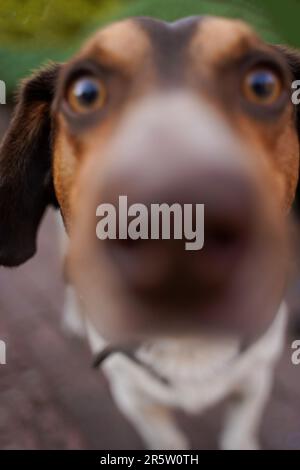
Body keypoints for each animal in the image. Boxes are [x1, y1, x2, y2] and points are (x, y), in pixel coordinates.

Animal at [0, 16, 300, 450]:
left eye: (262, 84)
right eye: (85, 94)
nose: (175, 225)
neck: (186, 340)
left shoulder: (254, 380)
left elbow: (240, 429)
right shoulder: (135, 399)